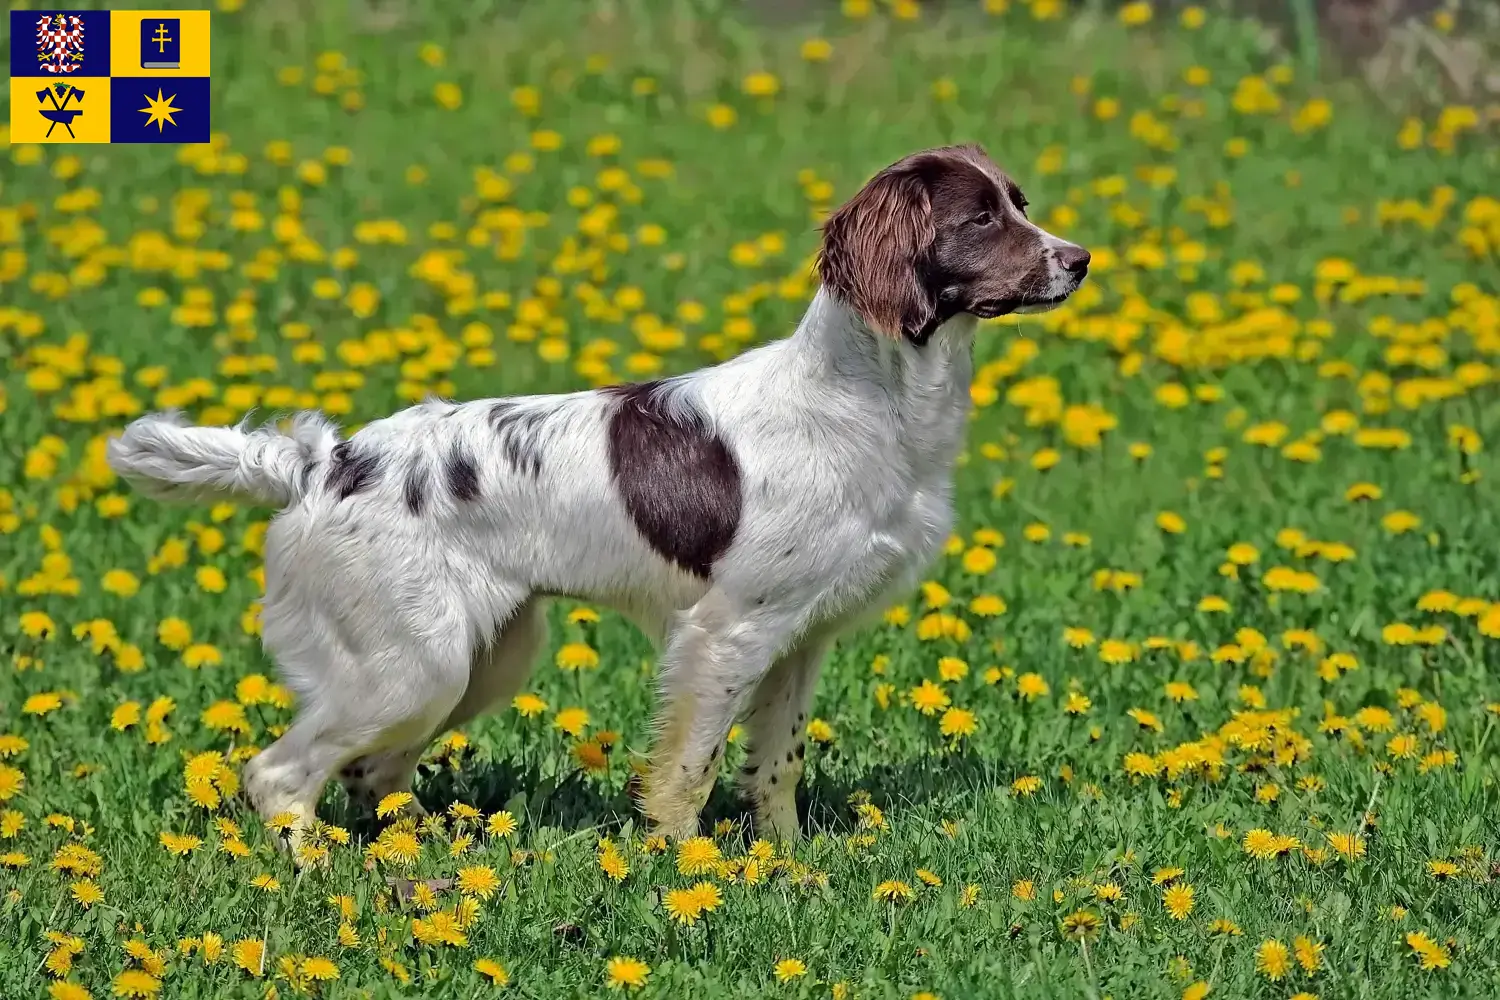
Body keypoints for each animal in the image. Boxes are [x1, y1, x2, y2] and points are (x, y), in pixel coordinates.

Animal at [108, 144, 1092, 851]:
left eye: (1020, 202)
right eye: (979, 217)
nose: (1081, 259)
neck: (866, 398)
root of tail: (320, 462)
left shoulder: (800, 636)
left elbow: (776, 765)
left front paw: (789, 863)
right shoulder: (727, 631)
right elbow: (691, 768)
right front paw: (688, 866)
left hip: (481, 658)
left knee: (373, 775)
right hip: (412, 665)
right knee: (283, 775)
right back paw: (318, 871)